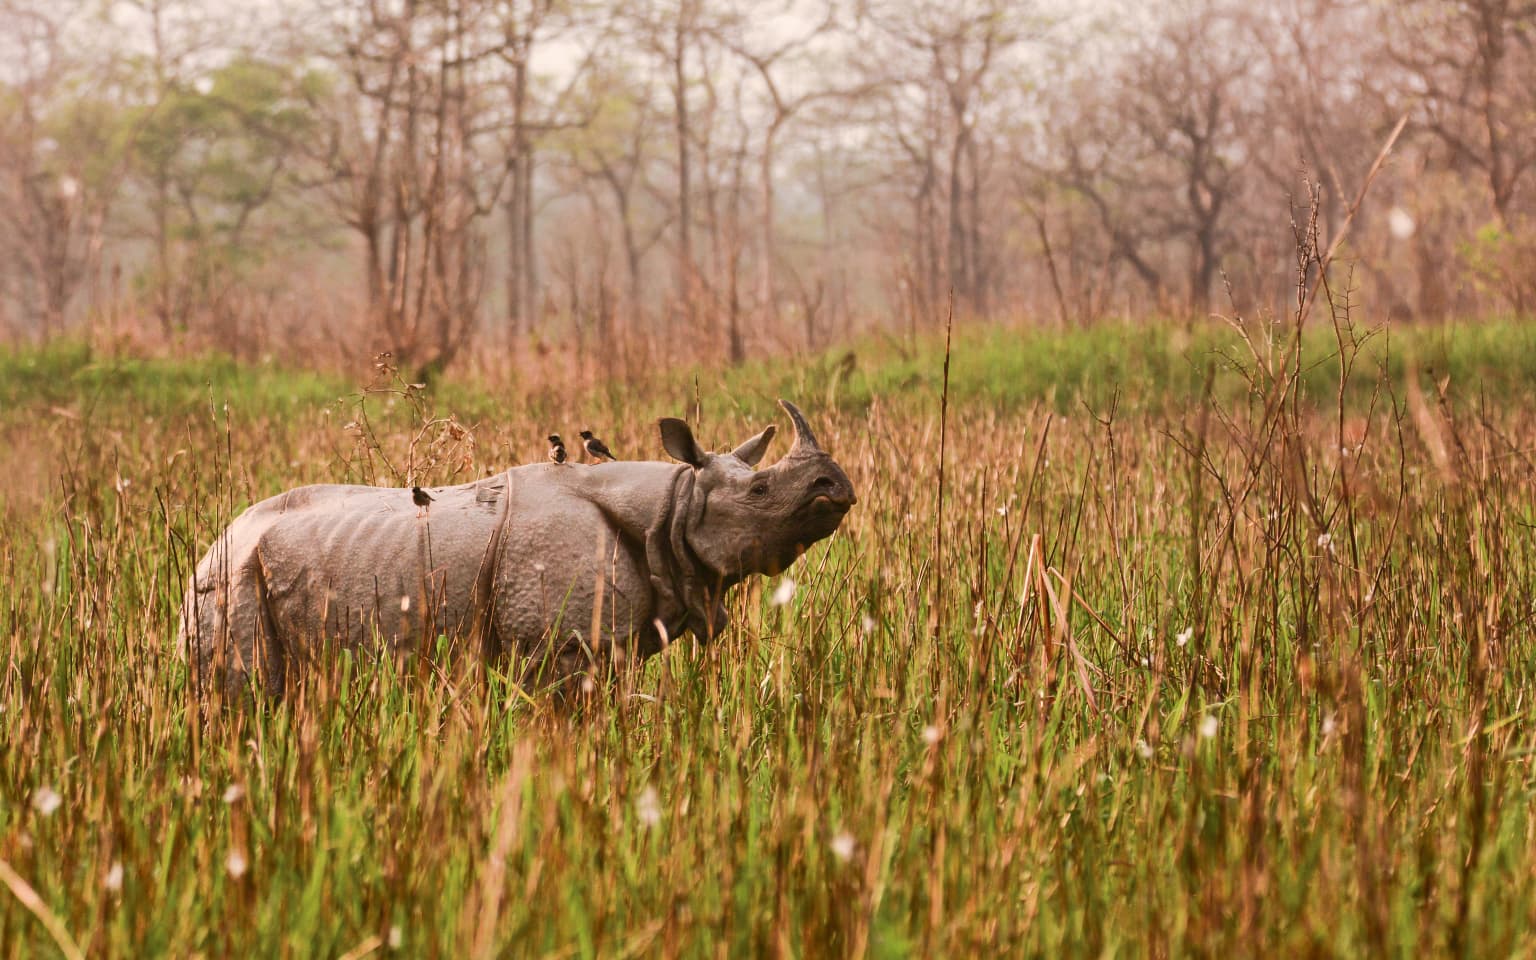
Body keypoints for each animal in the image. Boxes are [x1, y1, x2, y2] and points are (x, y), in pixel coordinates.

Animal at [178, 400, 856, 699]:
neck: (673, 504)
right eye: (761, 491)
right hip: (229, 579)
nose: (837, 488)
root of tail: (214, 541)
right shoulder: (561, 644)